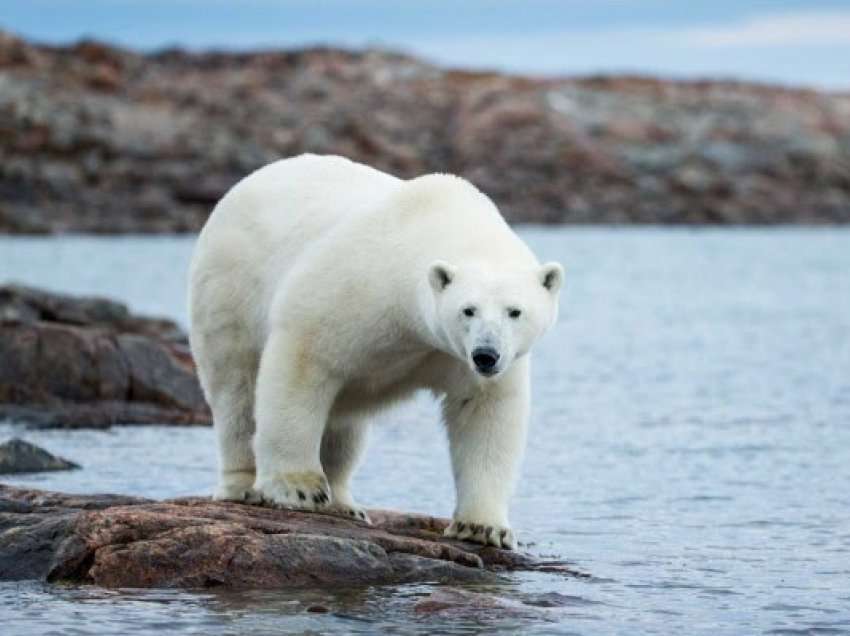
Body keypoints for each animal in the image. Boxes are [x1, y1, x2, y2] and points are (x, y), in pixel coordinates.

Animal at [188, 153, 560, 548]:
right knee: (236, 392)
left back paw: (344, 503)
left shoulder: (457, 356)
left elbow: (485, 410)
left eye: (515, 311)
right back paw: (244, 486)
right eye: (468, 310)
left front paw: (483, 527)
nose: (486, 355)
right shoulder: (354, 285)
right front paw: (298, 488)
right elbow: (303, 362)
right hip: (229, 287)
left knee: (344, 424)